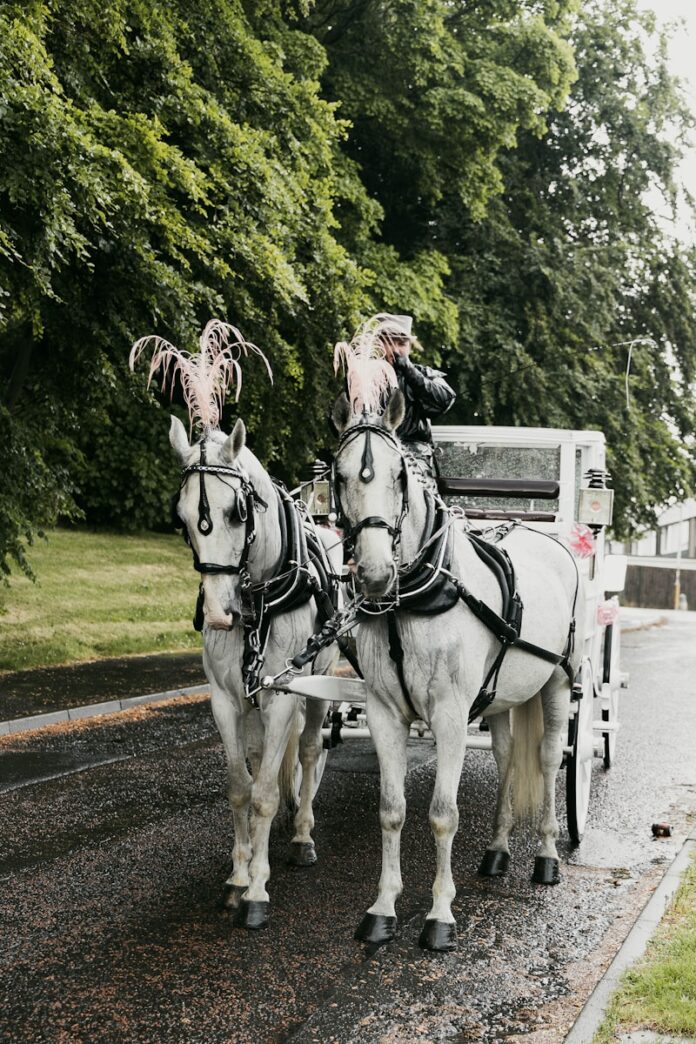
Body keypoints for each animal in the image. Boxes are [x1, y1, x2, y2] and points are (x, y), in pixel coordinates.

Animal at [169, 414, 340, 930]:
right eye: (181, 518)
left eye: (237, 512)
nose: (219, 614)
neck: (257, 599)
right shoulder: (225, 700)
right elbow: (241, 788)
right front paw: (238, 876)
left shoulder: (283, 694)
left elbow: (265, 793)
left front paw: (259, 890)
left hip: (320, 681)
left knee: (309, 750)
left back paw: (302, 835)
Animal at [331, 389, 585, 951]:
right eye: (338, 475)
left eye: (399, 475)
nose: (376, 573)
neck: (410, 600)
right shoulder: (384, 711)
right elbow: (392, 809)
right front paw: (382, 908)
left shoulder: (448, 714)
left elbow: (442, 815)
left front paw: (440, 915)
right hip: (502, 696)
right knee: (509, 757)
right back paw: (497, 850)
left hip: (559, 681)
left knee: (548, 757)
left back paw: (547, 857)